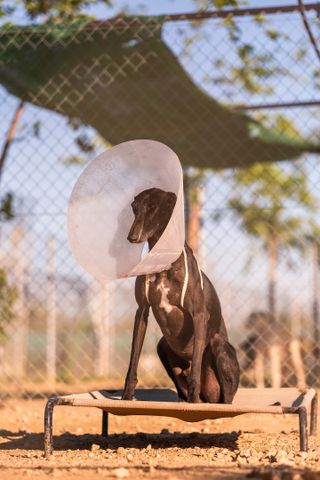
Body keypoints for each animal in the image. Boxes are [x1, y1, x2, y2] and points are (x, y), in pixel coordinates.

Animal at [122, 186, 240, 404]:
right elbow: (133, 359)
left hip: (219, 347)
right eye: (134, 207)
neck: (164, 260)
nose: (132, 237)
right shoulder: (142, 311)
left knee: (225, 399)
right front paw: (126, 396)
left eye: (153, 207)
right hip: (162, 346)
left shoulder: (199, 315)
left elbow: (195, 372)